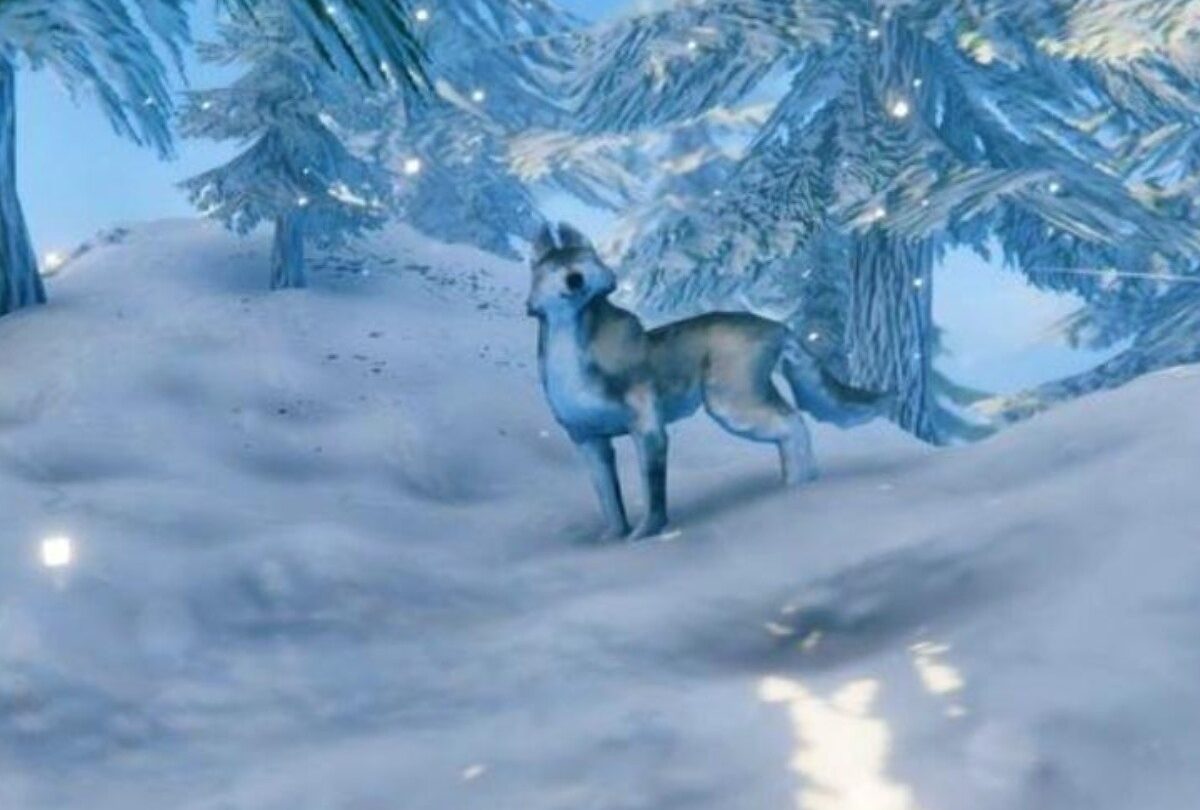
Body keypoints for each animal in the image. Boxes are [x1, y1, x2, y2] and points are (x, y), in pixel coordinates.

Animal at [526, 222, 887, 540]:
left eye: (585, 261)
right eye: (553, 269)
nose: (575, 278)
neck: (572, 368)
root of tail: (776, 325)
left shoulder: (648, 429)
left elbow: (653, 495)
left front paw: (644, 536)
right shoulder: (588, 440)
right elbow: (610, 503)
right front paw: (612, 539)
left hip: (731, 404)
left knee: (794, 423)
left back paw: (798, 489)